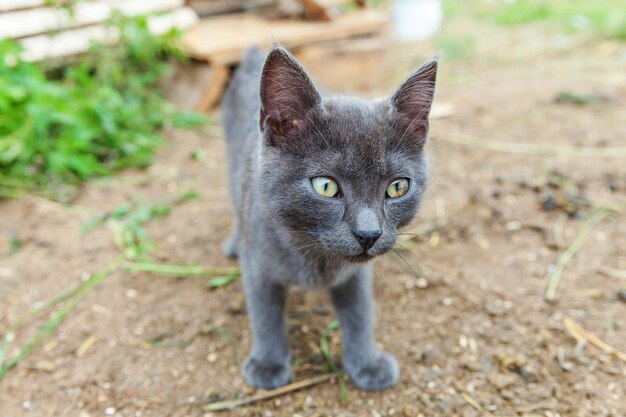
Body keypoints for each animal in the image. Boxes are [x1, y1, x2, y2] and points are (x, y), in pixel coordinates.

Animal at [223, 46, 434, 390]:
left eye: (397, 187)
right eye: (325, 186)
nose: (368, 234)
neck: (315, 256)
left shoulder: (355, 275)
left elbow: (360, 312)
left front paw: (367, 363)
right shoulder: (258, 267)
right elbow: (265, 314)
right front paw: (268, 364)